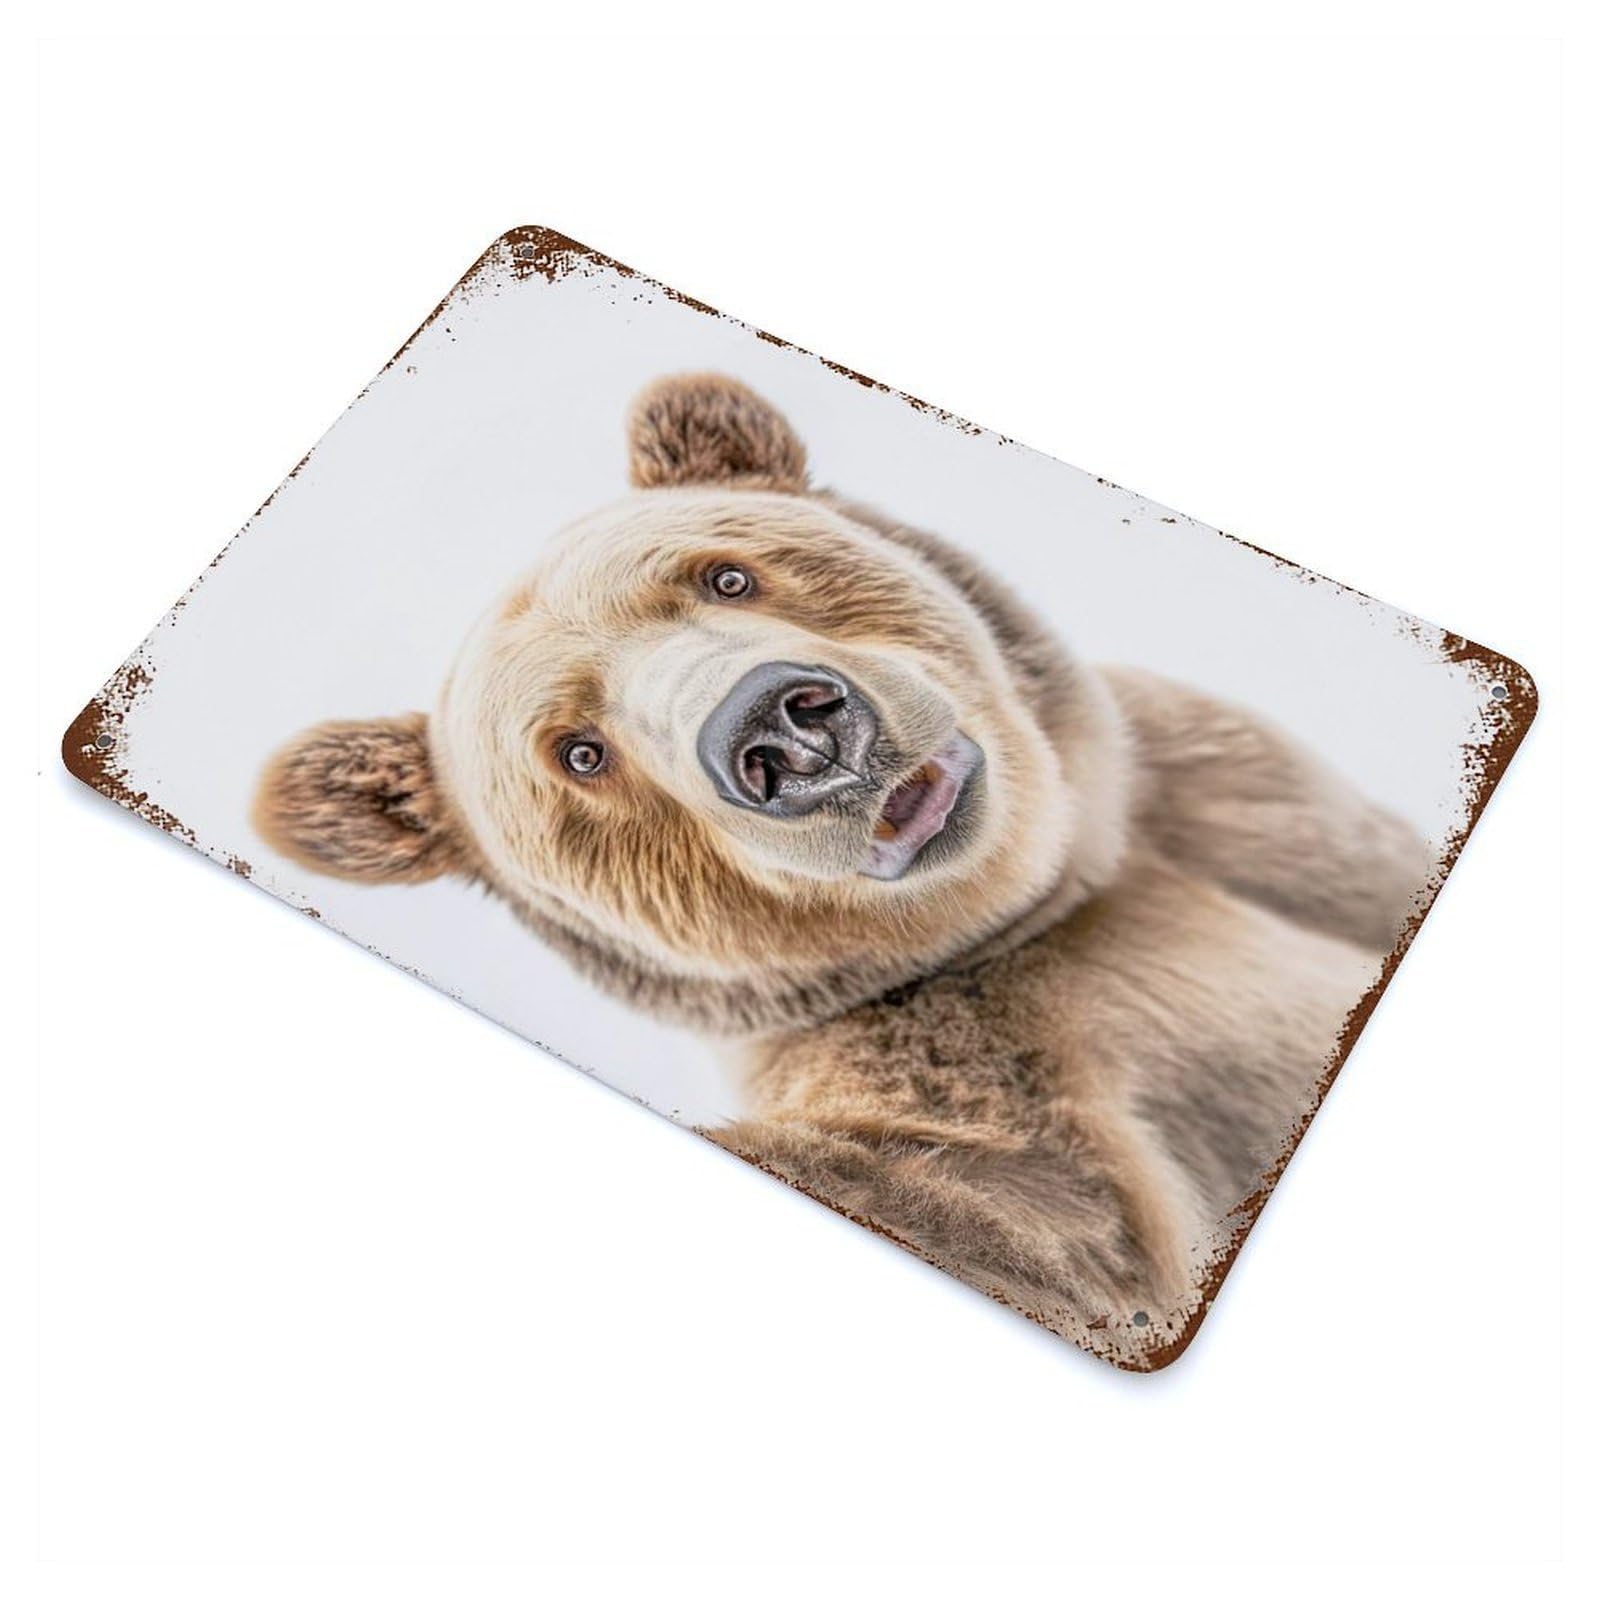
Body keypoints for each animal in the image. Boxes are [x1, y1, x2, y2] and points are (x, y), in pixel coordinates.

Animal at [253, 373, 1429, 1368]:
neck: (1048, 898)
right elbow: (1024, 1211)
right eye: (578, 753)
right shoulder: (974, 1084)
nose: (786, 731)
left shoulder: (1242, 802)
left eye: (724, 573)